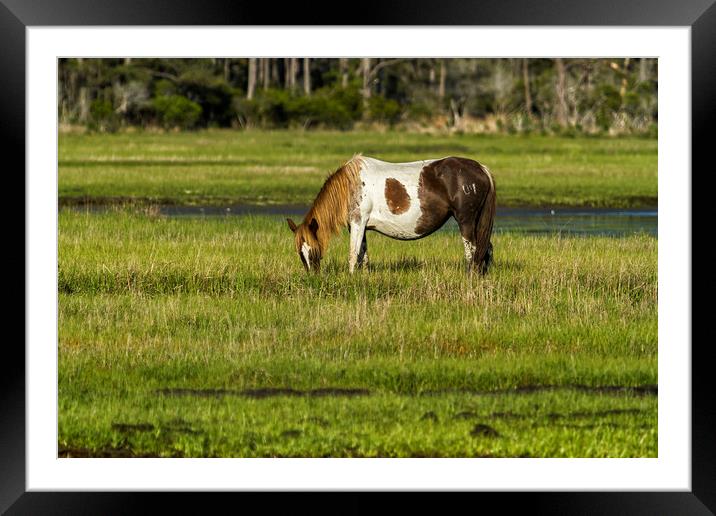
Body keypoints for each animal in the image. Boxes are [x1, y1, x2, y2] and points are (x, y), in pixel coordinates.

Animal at [288, 153, 496, 274]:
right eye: (300, 253)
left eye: (314, 251)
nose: (313, 278)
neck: (350, 185)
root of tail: (481, 169)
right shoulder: (362, 226)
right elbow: (363, 255)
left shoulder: (357, 223)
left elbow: (353, 255)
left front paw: (351, 278)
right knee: (486, 250)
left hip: (466, 221)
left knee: (472, 252)